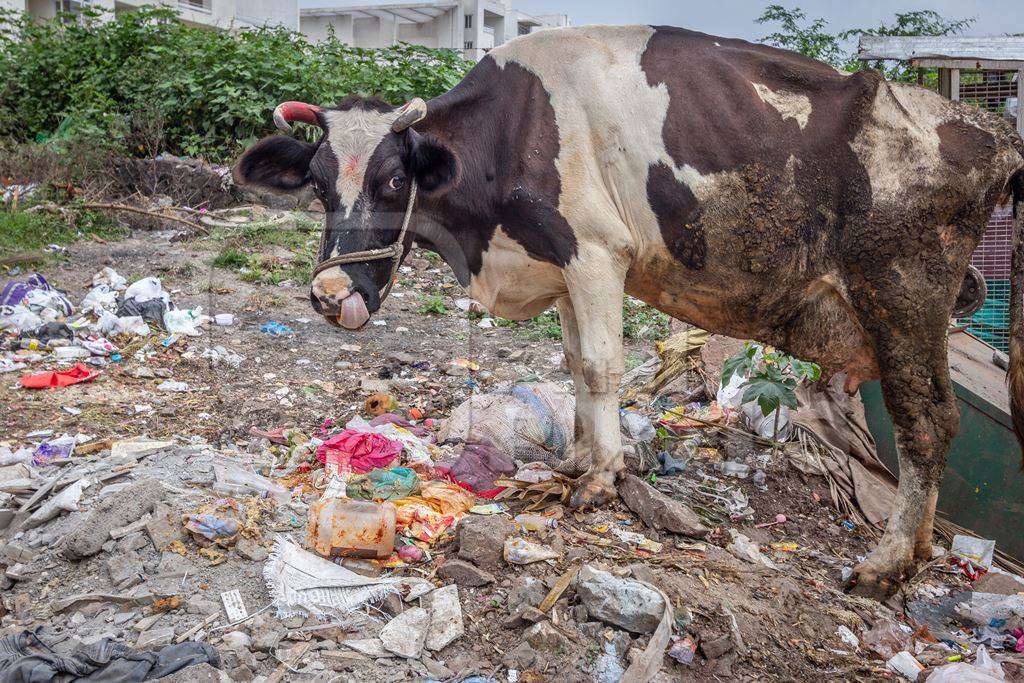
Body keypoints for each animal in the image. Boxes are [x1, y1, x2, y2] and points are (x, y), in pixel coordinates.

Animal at [232, 25, 1024, 598]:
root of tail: (989, 129)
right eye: (317, 183)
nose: (330, 294)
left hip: (903, 293)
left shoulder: (594, 251)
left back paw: (888, 564)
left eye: (396, 180)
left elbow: (603, 366)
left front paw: (602, 476)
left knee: (928, 422)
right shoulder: (562, 271)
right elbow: (573, 366)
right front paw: (579, 455)